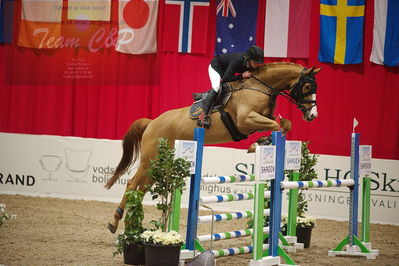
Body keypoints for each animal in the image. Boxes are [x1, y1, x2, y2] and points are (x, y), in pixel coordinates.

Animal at [104, 62, 320, 233]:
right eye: (307, 85)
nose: (313, 116)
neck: (259, 87)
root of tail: (151, 123)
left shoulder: (259, 120)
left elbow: (284, 124)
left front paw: (260, 143)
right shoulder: (245, 119)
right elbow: (277, 125)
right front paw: (257, 145)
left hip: (159, 163)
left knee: (141, 189)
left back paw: (132, 226)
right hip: (150, 160)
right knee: (132, 185)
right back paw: (115, 223)